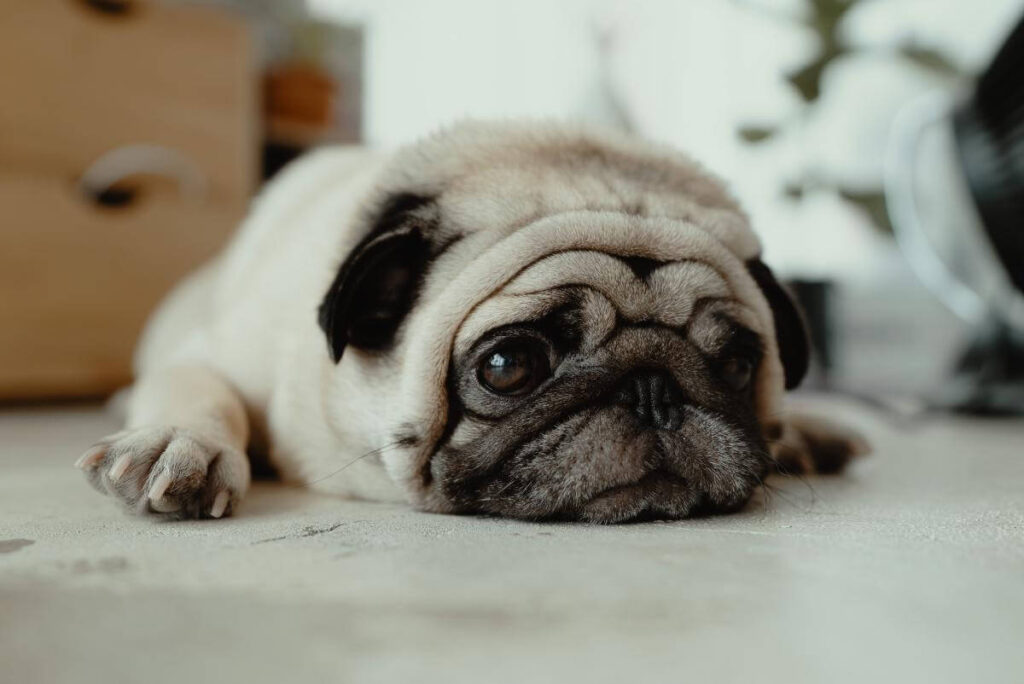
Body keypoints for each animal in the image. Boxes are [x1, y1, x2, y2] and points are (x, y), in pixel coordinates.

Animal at [75, 120, 868, 520]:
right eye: (508, 366)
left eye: (735, 363)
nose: (653, 390)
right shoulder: (214, 356)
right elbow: (199, 389)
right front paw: (181, 443)